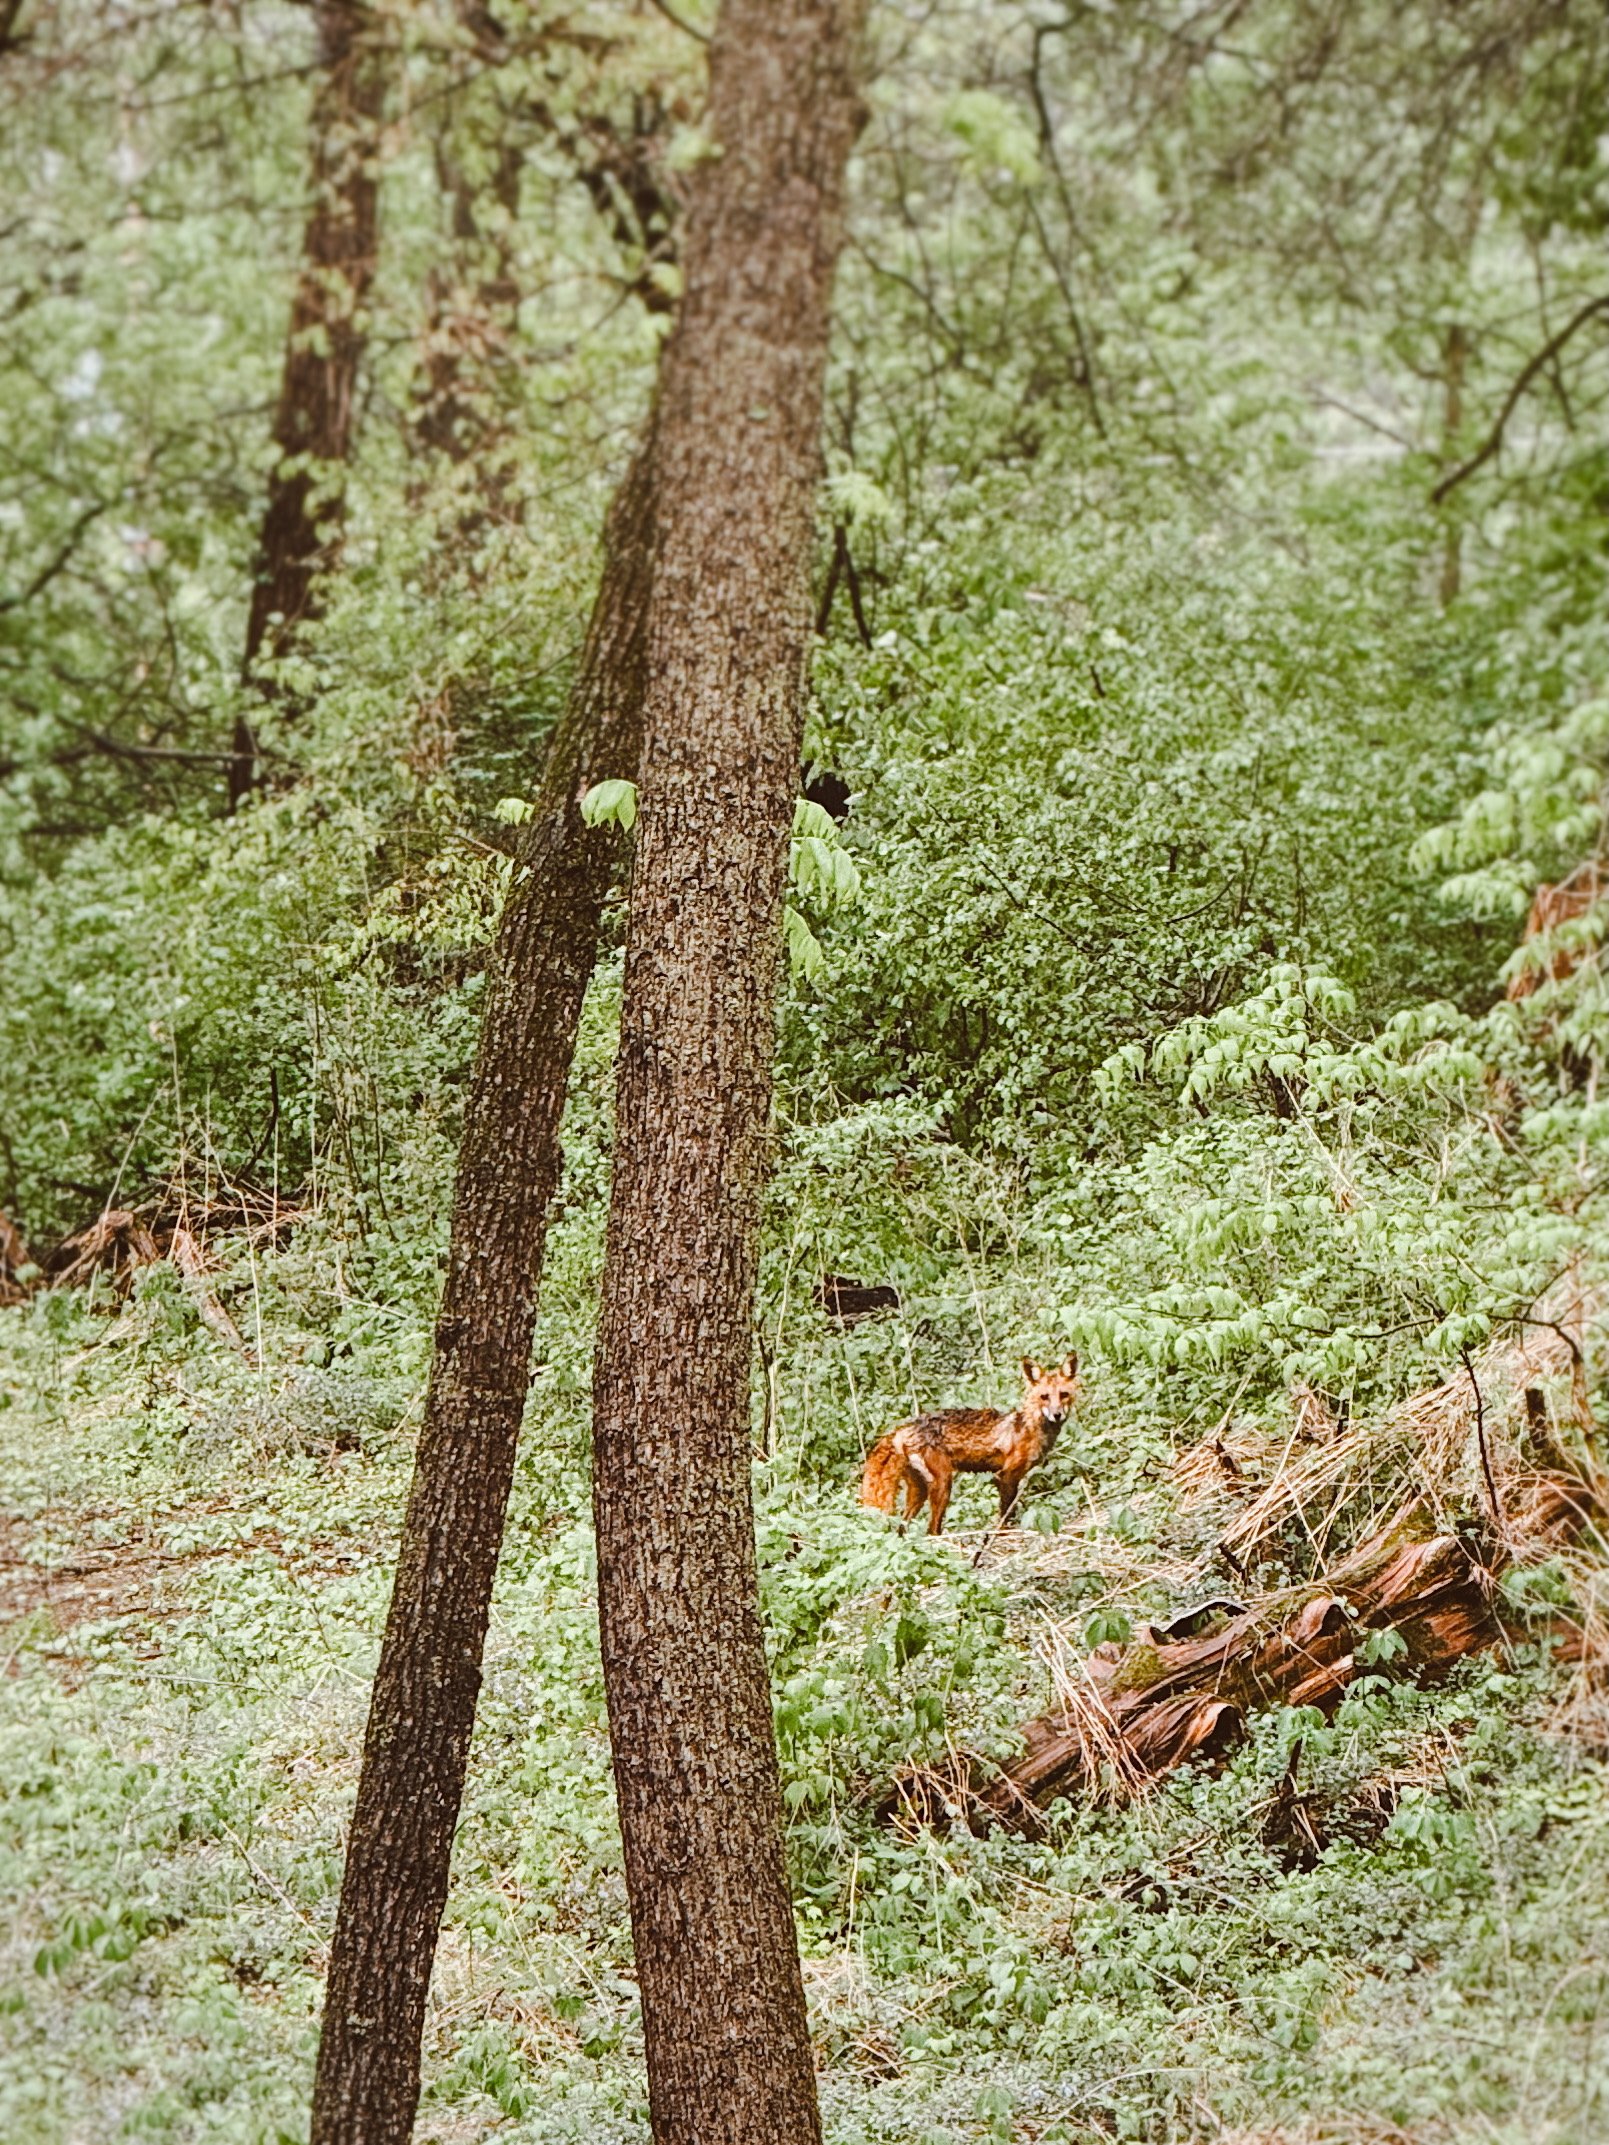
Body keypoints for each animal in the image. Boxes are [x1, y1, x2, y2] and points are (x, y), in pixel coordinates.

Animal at [859, 1354, 1081, 1537]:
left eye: (1063, 1395)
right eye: (1044, 1397)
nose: (1057, 1414)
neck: (1029, 1427)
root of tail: (903, 1428)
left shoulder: (1015, 1477)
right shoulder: (1005, 1476)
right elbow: (1005, 1517)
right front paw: (1001, 1535)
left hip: (919, 1491)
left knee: (902, 1527)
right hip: (943, 1484)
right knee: (932, 1530)